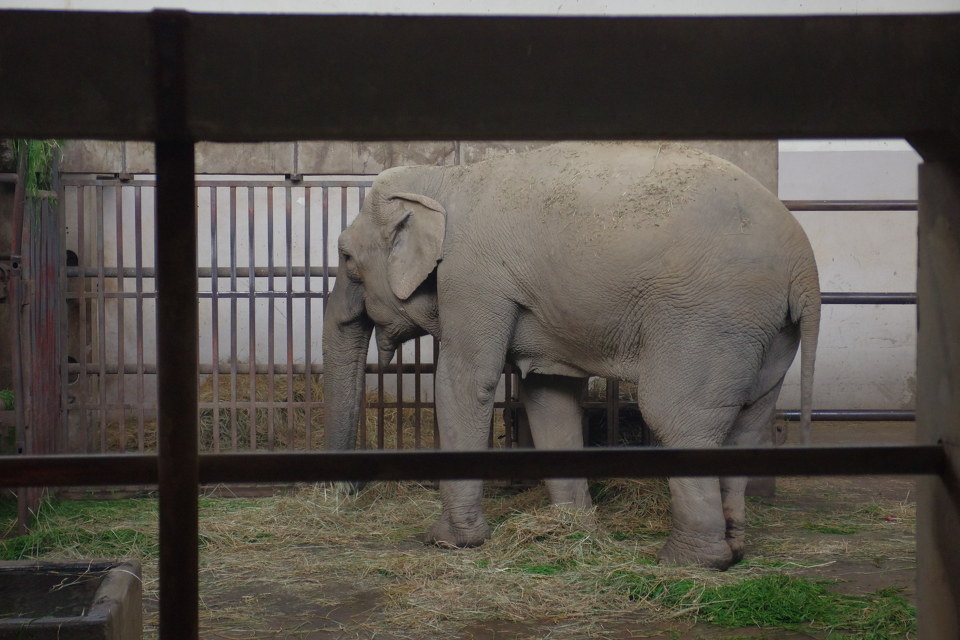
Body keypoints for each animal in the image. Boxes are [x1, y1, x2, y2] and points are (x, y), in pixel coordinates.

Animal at [322, 141, 819, 570]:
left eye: (345, 257)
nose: (347, 492)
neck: (445, 180)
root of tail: (805, 265)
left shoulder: (472, 277)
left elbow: (465, 383)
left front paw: (448, 542)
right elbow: (548, 395)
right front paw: (572, 526)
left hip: (710, 317)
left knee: (676, 416)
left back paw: (689, 561)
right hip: (770, 329)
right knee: (750, 420)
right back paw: (734, 551)